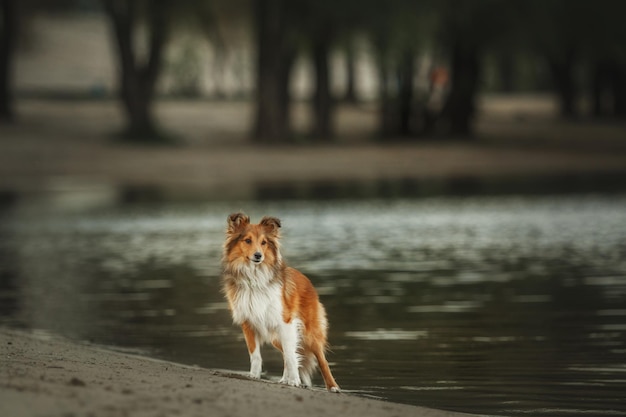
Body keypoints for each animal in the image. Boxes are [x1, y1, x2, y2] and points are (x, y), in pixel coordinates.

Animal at [222, 213, 338, 392]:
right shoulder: (248, 323)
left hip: (309, 333)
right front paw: (254, 376)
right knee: (287, 352)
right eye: (247, 240)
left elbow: (291, 357)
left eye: (264, 242)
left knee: (320, 359)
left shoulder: (285, 322)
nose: (258, 256)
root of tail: (307, 281)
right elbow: (255, 355)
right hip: (277, 336)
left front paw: (295, 381)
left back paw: (332, 387)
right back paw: (284, 379)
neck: (254, 278)